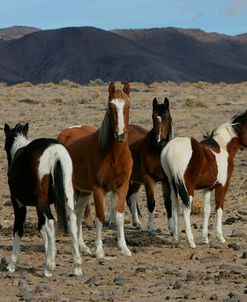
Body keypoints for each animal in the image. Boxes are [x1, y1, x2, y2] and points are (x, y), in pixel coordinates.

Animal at [3, 124, 82, 278]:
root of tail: (54, 149)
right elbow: (41, 227)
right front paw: (50, 255)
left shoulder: (19, 204)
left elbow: (18, 228)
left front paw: (12, 264)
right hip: (66, 197)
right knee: (72, 221)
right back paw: (77, 267)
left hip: (41, 202)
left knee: (51, 222)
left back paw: (48, 268)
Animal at [57, 83, 133, 260]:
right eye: (110, 107)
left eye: (127, 106)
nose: (121, 134)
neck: (114, 155)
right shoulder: (99, 189)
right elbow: (100, 217)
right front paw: (99, 250)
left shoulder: (122, 186)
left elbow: (119, 216)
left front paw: (124, 248)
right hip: (71, 189)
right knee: (72, 215)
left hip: (84, 191)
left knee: (78, 214)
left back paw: (83, 247)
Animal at [160, 111, 247, 248]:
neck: (223, 147)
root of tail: (171, 150)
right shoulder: (222, 186)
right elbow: (219, 209)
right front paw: (220, 238)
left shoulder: (208, 188)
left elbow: (207, 210)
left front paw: (205, 239)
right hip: (187, 189)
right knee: (186, 210)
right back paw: (191, 242)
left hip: (172, 186)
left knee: (174, 208)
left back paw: (176, 240)